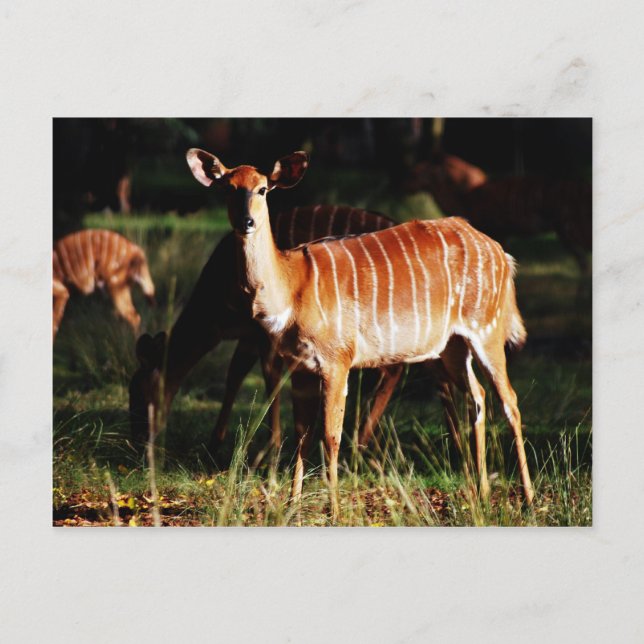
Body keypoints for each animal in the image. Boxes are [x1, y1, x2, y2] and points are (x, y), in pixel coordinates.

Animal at [186, 148, 535, 517]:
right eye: (228, 187)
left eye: (263, 188)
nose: (246, 222)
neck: (292, 289)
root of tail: (503, 254)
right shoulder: (299, 366)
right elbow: (302, 434)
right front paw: (292, 506)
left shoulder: (337, 360)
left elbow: (330, 435)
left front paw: (335, 512)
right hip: (454, 345)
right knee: (478, 396)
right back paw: (481, 493)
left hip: (487, 330)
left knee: (510, 401)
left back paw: (528, 498)